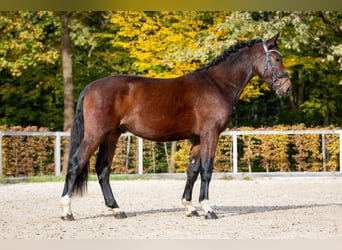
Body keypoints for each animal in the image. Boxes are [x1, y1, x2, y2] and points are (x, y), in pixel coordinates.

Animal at [60, 32, 292, 220]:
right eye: (276, 58)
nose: (287, 88)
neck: (217, 85)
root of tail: (90, 87)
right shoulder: (210, 134)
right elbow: (206, 170)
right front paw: (208, 209)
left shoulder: (198, 138)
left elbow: (192, 170)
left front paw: (189, 207)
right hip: (96, 135)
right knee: (75, 164)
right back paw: (67, 211)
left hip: (111, 135)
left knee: (103, 169)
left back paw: (117, 210)